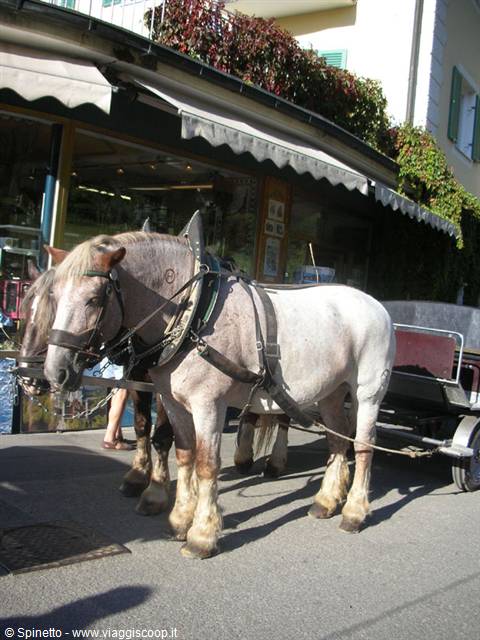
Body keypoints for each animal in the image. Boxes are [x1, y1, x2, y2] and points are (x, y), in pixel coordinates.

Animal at [43, 223, 395, 558]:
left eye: (94, 299)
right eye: (54, 296)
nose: (54, 371)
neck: (193, 311)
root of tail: (377, 306)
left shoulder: (208, 404)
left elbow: (206, 464)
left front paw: (202, 536)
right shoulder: (173, 402)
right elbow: (183, 455)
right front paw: (179, 520)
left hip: (367, 391)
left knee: (363, 445)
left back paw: (354, 512)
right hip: (331, 393)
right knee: (338, 439)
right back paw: (326, 500)